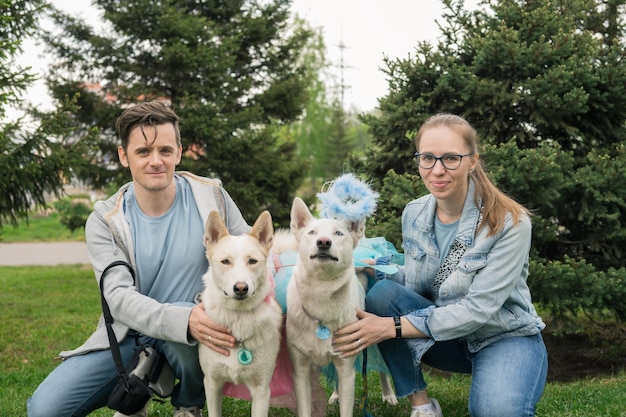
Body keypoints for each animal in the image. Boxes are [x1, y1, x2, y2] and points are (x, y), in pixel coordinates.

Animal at [199, 211, 282, 416]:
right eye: (225, 262)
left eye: (252, 261)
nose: (241, 288)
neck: (238, 318)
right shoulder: (212, 384)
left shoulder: (262, 391)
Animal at [286, 197, 368, 416]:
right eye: (312, 233)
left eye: (338, 233)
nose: (323, 242)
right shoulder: (301, 370)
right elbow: (305, 408)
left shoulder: (347, 370)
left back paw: (389, 396)